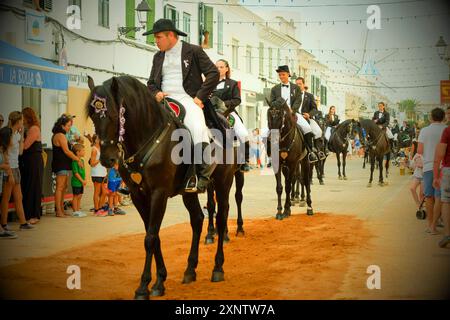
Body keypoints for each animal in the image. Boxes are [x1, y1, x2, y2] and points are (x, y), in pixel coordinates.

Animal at [85, 75, 237, 300]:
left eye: (113, 114)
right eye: (93, 116)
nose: (107, 159)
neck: (147, 135)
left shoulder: (159, 193)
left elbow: (150, 237)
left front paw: (143, 287)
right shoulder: (139, 195)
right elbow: (153, 235)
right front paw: (159, 281)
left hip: (223, 182)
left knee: (221, 217)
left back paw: (217, 268)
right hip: (188, 192)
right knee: (197, 219)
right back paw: (190, 270)